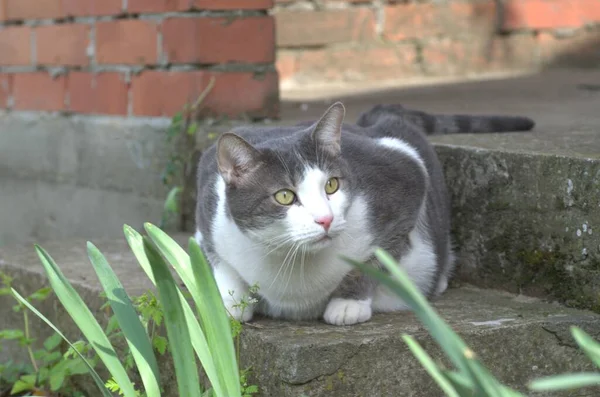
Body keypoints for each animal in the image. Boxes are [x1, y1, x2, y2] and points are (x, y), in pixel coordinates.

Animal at [193, 103, 536, 324]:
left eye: (332, 185)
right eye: (285, 196)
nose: (326, 219)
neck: (293, 262)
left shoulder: (407, 178)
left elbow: (376, 257)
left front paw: (348, 304)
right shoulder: (207, 206)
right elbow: (220, 262)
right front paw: (228, 303)